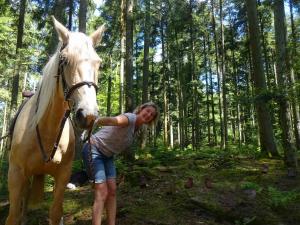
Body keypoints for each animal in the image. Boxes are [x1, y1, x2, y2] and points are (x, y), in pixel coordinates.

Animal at [4, 16, 105, 225]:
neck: (45, 129)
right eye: (64, 60)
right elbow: (13, 216)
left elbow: (56, 213)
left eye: (98, 63)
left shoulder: (63, 176)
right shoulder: (16, 174)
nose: (88, 115)